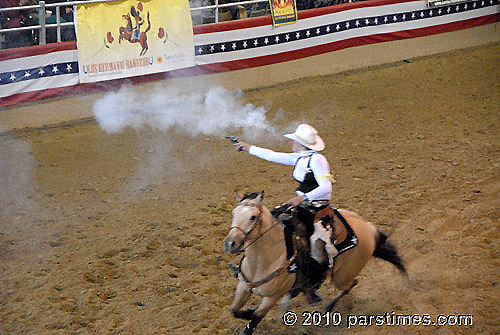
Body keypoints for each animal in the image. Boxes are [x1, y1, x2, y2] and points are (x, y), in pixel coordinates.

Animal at [225, 192, 408, 335]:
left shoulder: (272, 297)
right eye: (233, 213)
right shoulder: (243, 286)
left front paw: (250, 315)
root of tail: (370, 229)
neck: (264, 259)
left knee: (351, 284)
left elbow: (255, 318)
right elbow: (234, 310)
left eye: (253, 217)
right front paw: (247, 311)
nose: (230, 243)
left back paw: (327, 307)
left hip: (342, 276)